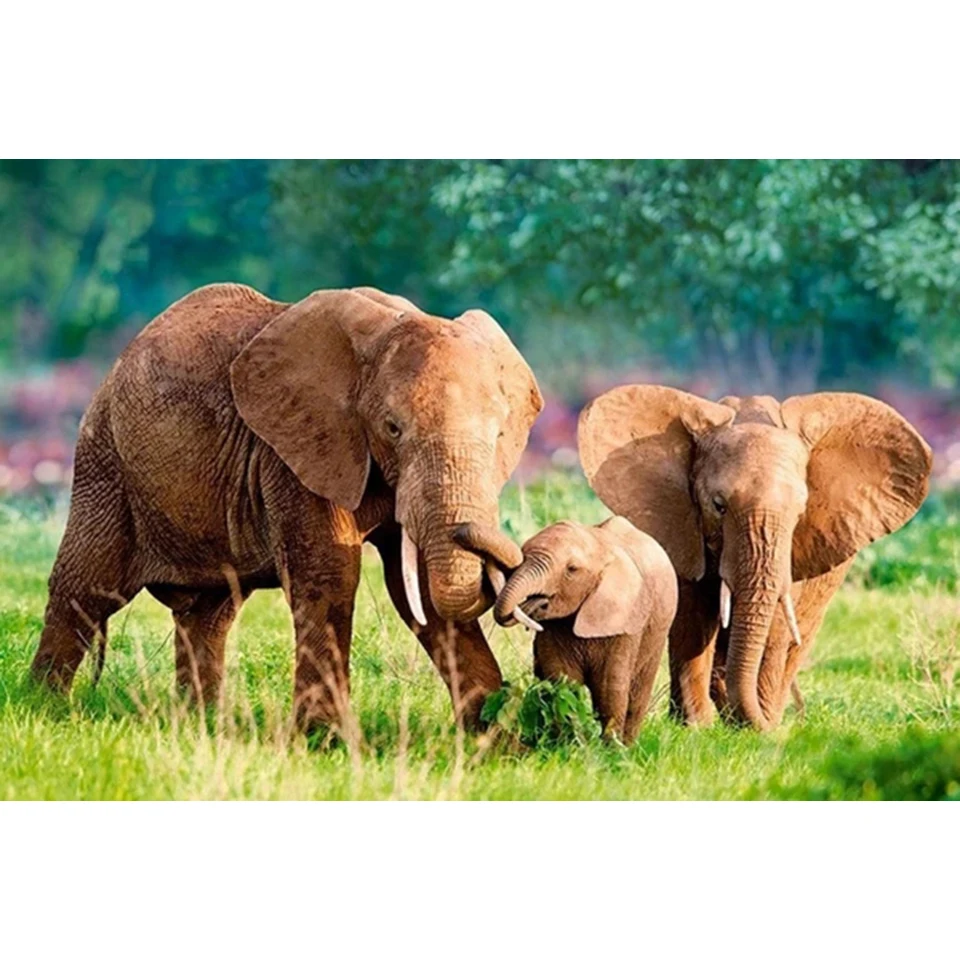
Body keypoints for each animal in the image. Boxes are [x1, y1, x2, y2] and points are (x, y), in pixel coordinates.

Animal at [31, 283, 542, 732]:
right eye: (392, 428)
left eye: (500, 433)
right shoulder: (295, 448)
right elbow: (333, 574)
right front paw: (324, 740)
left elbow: (415, 590)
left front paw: (495, 738)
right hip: (104, 461)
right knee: (86, 587)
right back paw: (44, 706)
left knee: (209, 613)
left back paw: (202, 722)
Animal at [489, 517, 678, 743]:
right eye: (522, 556)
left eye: (572, 569)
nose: (533, 602)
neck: (600, 546)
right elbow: (563, 679)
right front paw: (570, 743)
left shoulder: (626, 620)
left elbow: (610, 687)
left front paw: (611, 748)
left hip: (658, 632)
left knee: (638, 695)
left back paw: (629, 744)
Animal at [578, 387, 932, 730]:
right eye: (719, 506)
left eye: (800, 513)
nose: (793, 722)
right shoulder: (681, 530)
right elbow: (692, 617)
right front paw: (695, 728)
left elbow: (775, 624)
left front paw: (759, 727)